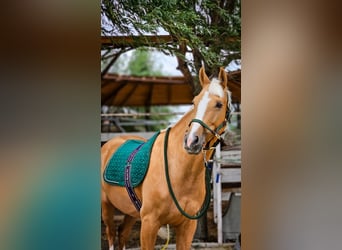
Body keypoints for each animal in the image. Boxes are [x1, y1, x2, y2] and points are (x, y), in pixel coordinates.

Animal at [100, 67, 231, 250]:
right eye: (194, 102)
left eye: (219, 104)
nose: (191, 141)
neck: (179, 171)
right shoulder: (149, 224)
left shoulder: (187, 227)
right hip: (107, 207)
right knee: (112, 234)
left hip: (131, 212)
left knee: (123, 233)